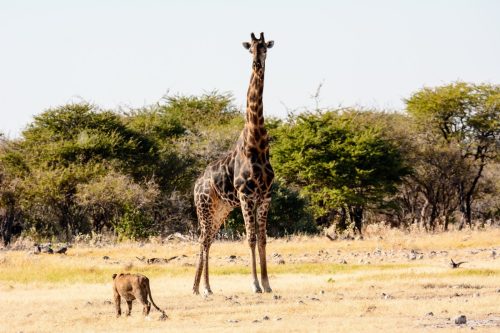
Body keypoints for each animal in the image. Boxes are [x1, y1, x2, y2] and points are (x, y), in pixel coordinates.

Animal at [193, 32, 276, 294]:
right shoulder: (246, 195)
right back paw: (205, 288)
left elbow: (263, 239)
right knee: (204, 239)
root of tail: (196, 185)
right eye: (250, 49)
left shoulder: (265, 196)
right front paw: (255, 284)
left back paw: (197, 287)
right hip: (205, 206)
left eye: (265, 48)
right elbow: (250, 238)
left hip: (221, 209)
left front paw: (267, 284)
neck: (257, 142)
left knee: (207, 239)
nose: (256, 63)